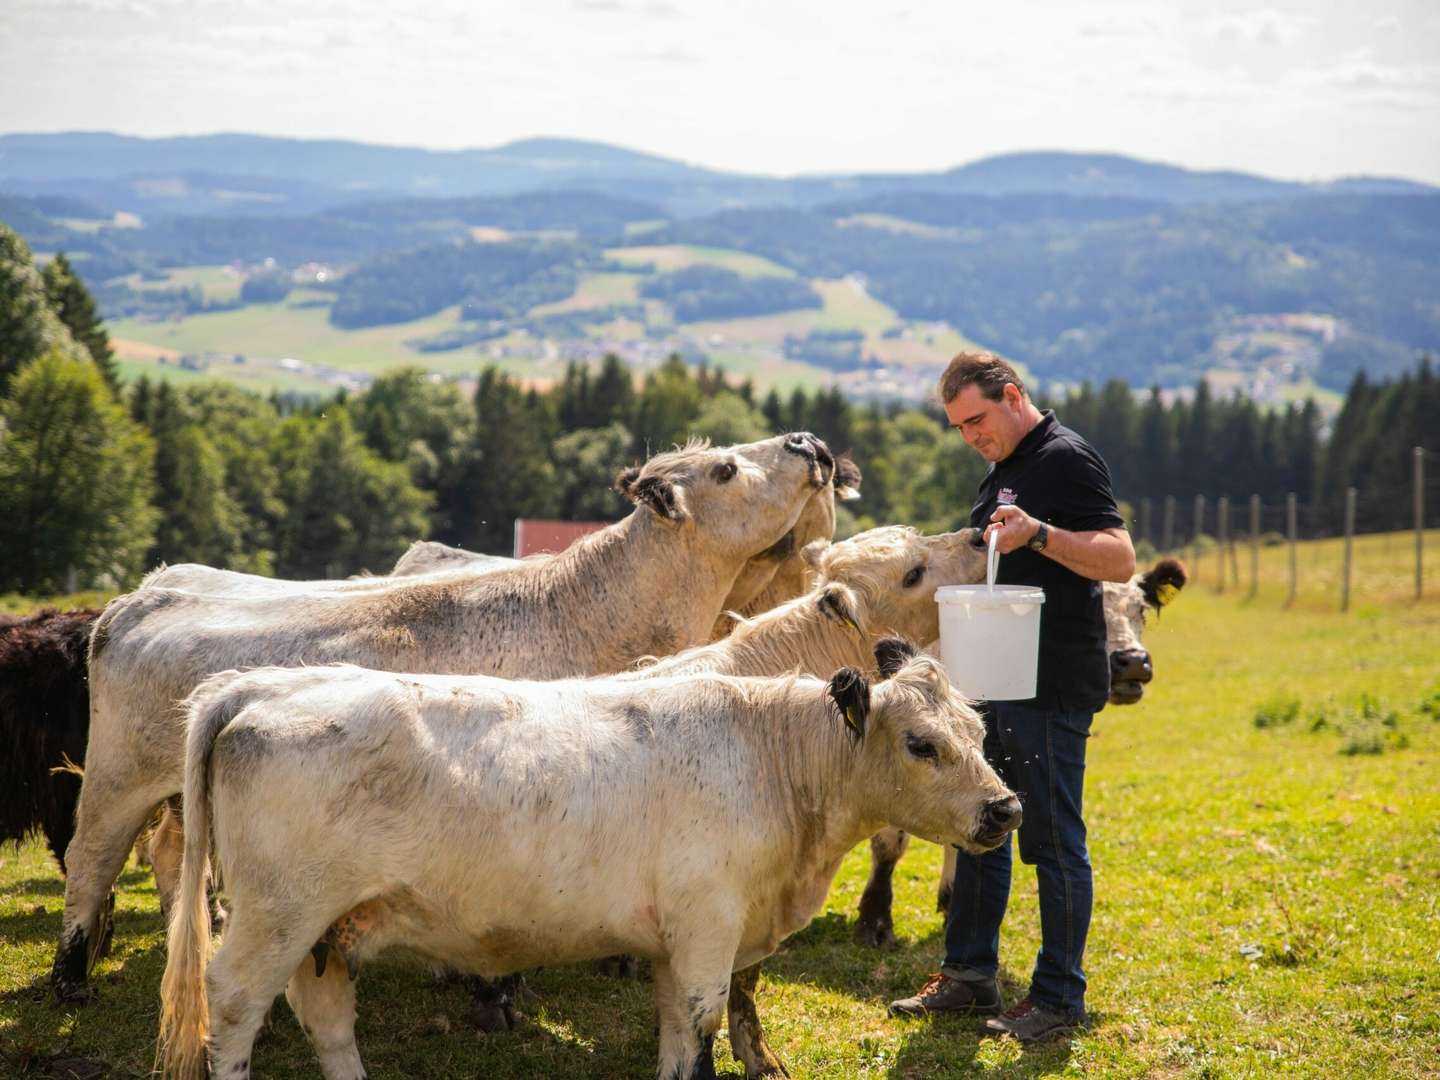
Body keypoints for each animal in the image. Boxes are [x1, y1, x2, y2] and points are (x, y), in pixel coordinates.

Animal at [56, 434, 840, 1008]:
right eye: (726, 466)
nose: (807, 442)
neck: (594, 612)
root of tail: (144, 594)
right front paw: (496, 994)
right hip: (116, 778)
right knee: (90, 862)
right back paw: (70, 978)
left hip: (176, 796)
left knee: (164, 855)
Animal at [157, 648, 1019, 1077]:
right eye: (921, 744)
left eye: (980, 730)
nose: (1005, 810)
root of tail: (262, 684)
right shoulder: (708, 929)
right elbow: (701, 1031)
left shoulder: (680, 942)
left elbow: (677, 1035)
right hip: (276, 916)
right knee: (233, 1007)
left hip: (326, 930)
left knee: (328, 1021)